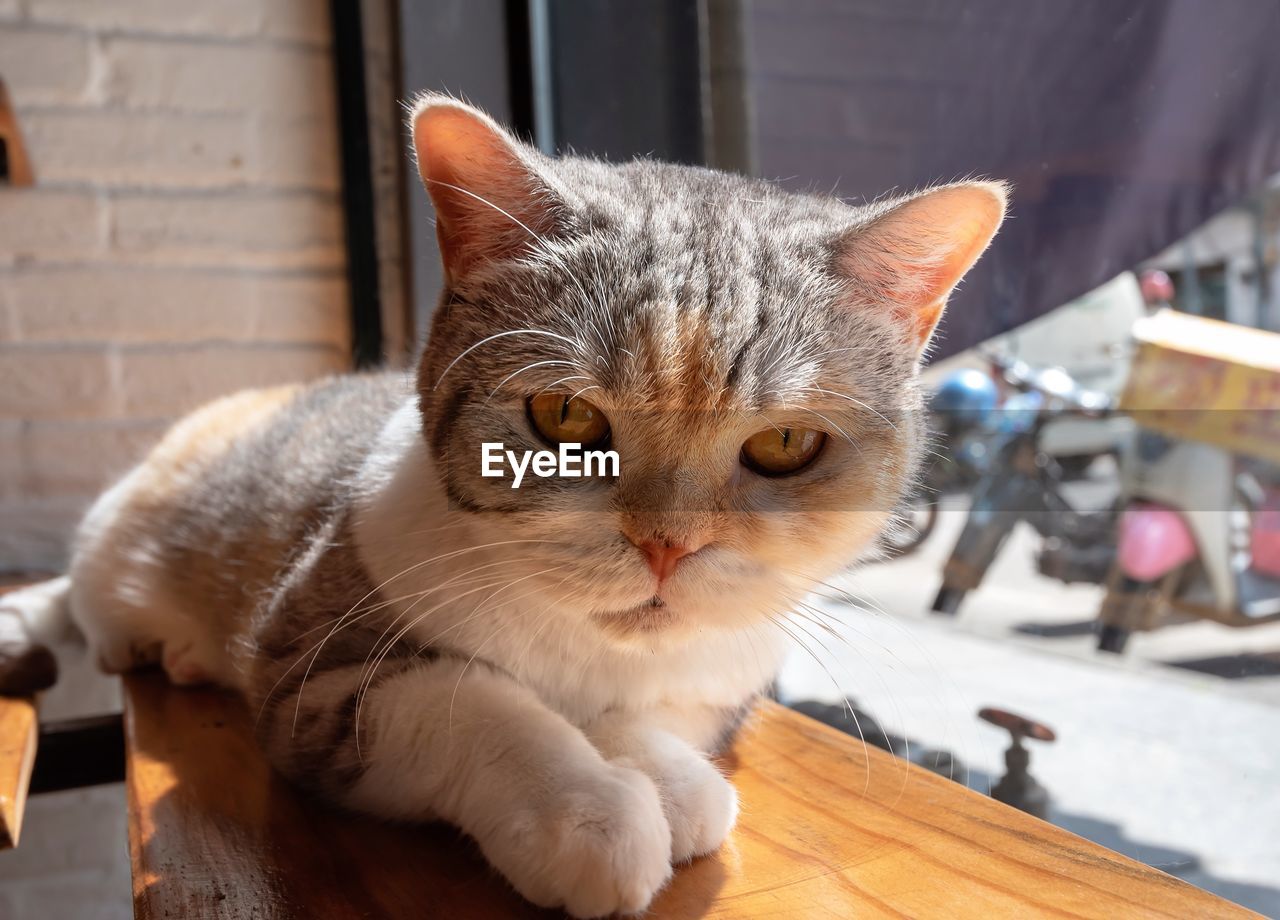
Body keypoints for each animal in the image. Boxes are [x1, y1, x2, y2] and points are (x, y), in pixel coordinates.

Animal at [0, 97, 1003, 916]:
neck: (588, 651)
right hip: (123, 537)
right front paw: (588, 809)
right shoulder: (312, 680)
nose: (666, 545)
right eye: (564, 415)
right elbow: (470, 700)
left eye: (785, 445)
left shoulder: (720, 683)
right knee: (73, 599)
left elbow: (653, 716)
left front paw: (671, 780)